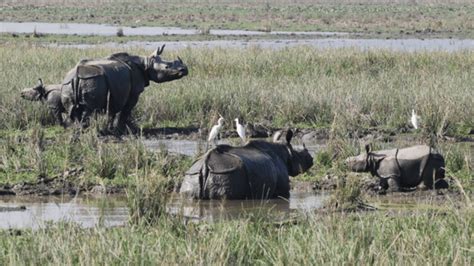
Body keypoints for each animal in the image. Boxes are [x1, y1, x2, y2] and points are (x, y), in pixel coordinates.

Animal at [180, 130, 312, 198]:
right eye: (301, 154)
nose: (311, 159)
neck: (285, 152)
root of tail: (204, 166)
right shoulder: (282, 188)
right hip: (226, 174)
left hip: (192, 175)